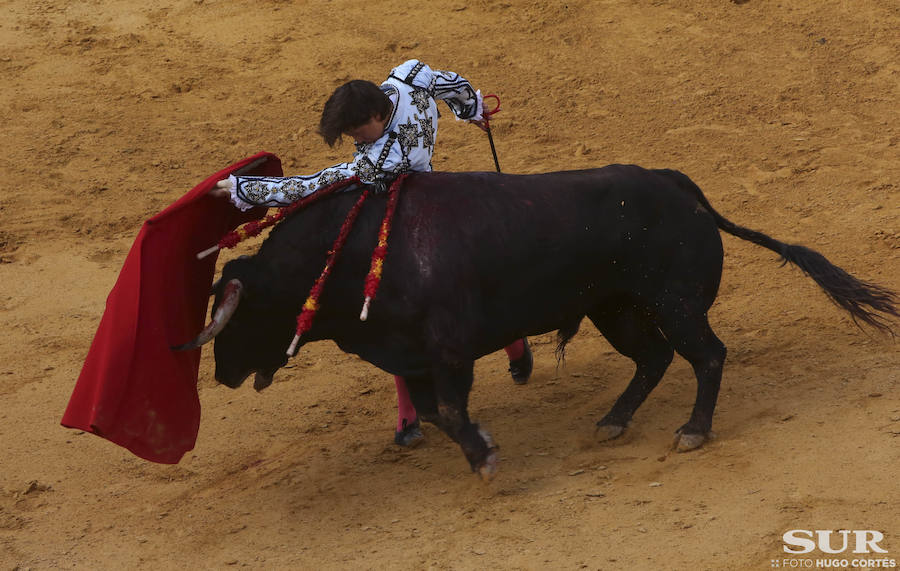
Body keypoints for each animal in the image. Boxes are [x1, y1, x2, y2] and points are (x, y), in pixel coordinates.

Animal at [179, 164, 896, 478]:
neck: (352, 250)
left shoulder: (448, 349)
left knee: (708, 355)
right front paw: (484, 443)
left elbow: (451, 409)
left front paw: (484, 458)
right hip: (615, 309)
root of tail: (679, 185)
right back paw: (613, 421)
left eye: (239, 317)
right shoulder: (416, 355)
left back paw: (693, 430)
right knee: (655, 358)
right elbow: (438, 411)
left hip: (675, 302)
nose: (220, 374)